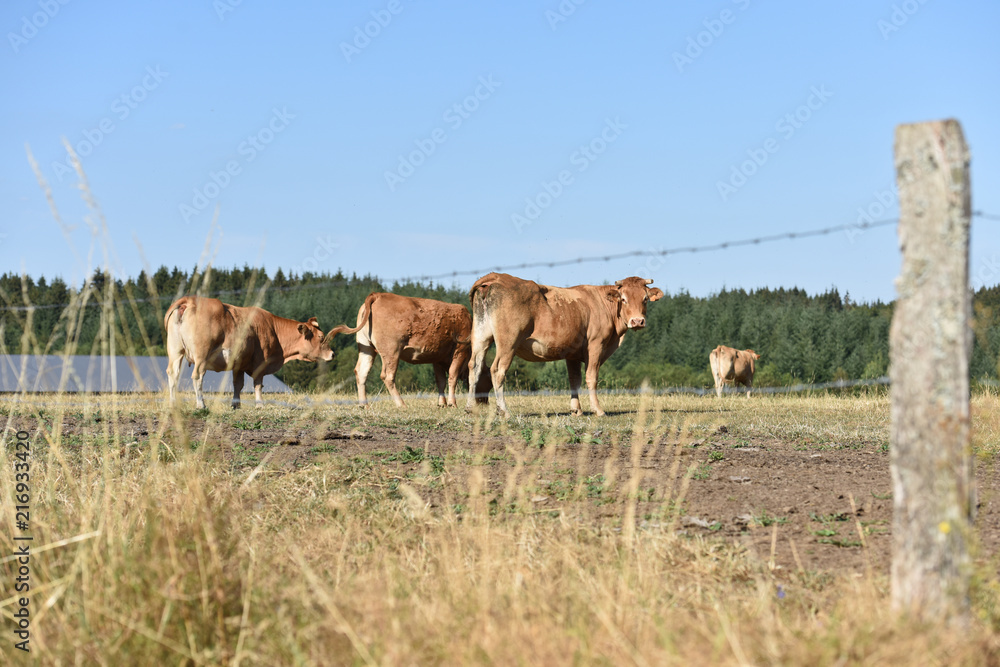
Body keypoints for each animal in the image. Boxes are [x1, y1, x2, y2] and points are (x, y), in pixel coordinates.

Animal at [164, 296, 332, 410]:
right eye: (321, 337)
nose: (332, 354)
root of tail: (190, 300)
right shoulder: (260, 362)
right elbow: (257, 384)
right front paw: (260, 404)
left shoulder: (239, 363)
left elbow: (238, 384)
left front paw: (236, 405)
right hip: (202, 355)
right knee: (197, 376)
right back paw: (201, 404)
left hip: (175, 351)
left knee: (173, 374)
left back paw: (173, 404)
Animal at [324, 294, 492, 410]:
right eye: (488, 382)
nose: (485, 403)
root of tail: (377, 295)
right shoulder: (459, 351)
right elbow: (452, 377)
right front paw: (452, 403)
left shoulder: (437, 358)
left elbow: (441, 381)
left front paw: (442, 404)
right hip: (391, 352)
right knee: (387, 376)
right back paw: (401, 404)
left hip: (367, 348)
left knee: (361, 372)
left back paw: (364, 404)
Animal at [466, 272, 664, 418]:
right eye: (623, 299)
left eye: (645, 299)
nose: (637, 321)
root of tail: (496, 277)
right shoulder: (596, 345)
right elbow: (591, 377)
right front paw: (598, 410)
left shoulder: (572, 353)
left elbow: (574, 380)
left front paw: (576, 410)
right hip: (508, 342)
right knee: (497, 370)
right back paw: (504, 411)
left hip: (481, 336)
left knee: (474, 366)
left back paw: (470, 407)